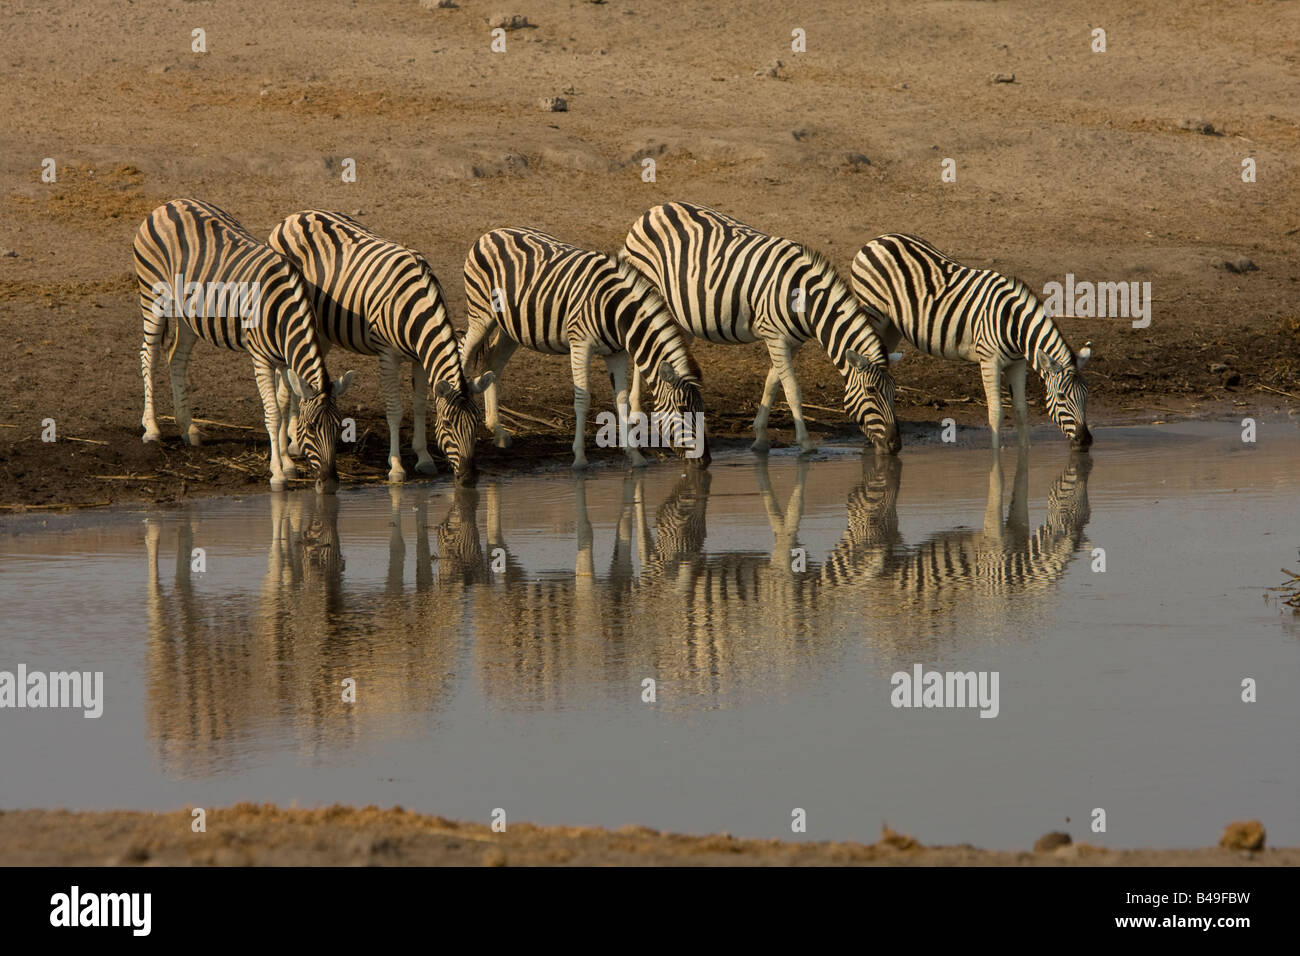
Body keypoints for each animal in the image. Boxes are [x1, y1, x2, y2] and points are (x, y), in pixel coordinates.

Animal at [134, 196, 353, 494]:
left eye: (339, 427)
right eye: (309, 428)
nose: (329, 485)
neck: (283, 310)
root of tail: (171, 203)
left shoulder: (283, 359)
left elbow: (283, 404)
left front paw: (287, 463)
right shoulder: (260, 358)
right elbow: (273, 414)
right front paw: (278, 474)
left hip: (188, 314)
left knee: (176, 359)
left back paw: (188, 428)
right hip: (153, 295)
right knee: (150, 355)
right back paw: (152, 428)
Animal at [266, 208, 488, 486]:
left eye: (477, 421)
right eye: (448, 424)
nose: (468, 478)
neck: (414, 303)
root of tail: (295, 215)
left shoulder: (420, 357)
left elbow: (419, 404)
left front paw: (424, 458)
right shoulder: (387, 356)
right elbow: (395, 410)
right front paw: (397, 467)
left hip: (321, 330)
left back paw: (295, 441)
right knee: (285, 386)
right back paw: (290, 449)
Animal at [462, 230, 712, 473]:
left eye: (701, 409)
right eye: (683, 408)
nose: (706, 460)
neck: (616, 311)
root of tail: (491, 233)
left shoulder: (616, 353)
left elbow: (621, 399)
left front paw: (635, 455)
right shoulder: (580, 344)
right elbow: (583, 398)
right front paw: (580, 458)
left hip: (511, 328)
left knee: (493, 363)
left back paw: (498, 431)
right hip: (481, 315)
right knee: (464, 351)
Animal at [624, 201, 899, 455]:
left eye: (894, 391)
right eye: (872, 391)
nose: (894, 445)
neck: (803, 298)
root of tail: (655, 209)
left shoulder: (791, 342)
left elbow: (772, 384)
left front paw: (760, 437)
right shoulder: (774, 336)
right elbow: (792, 390)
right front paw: (806, 444)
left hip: (683, 314)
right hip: (649, 291)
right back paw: (636, 412)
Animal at [847, 235, 1092, 452]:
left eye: (1086, 394)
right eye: (1062, 396)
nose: (1086, 440)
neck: (1012, 322)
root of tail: (877, 240)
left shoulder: (1017, 363)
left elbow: (1021, 410)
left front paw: (1026, 451)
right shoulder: (989, 360)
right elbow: (996, 412)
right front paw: (996, 455)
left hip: (893, 326)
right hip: (875, 313)